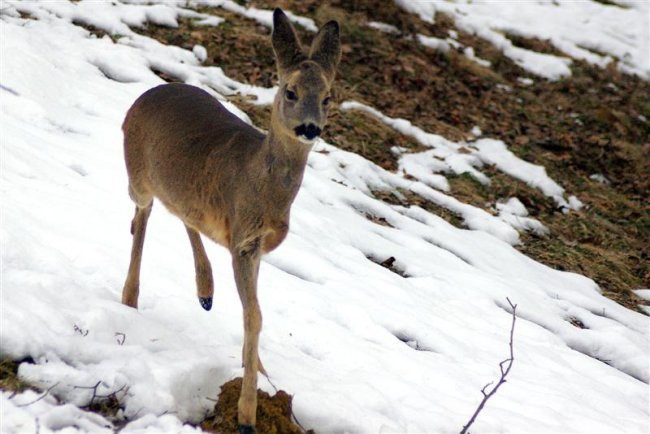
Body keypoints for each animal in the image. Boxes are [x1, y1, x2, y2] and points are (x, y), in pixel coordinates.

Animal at [120, 7, 340, 434]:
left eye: (327, 96)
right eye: (290, 91)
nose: (310, 128)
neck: (262, 186)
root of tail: (143, 96)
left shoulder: (255, 245)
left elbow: (253, 311)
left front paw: (257, 370)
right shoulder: (243, 240)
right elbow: (254, 315)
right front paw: (247, 414)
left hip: (182, 189)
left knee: (180, 213)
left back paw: (205, 291)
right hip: (138, 174)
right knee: (141, 218)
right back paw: (129, 299)